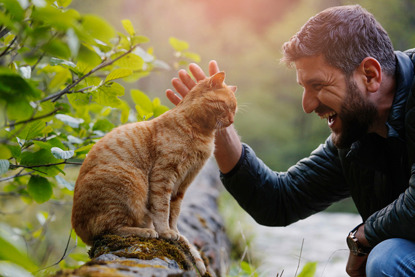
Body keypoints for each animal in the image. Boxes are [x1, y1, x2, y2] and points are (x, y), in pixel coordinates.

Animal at [70, 71, 236, 274]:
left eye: (235, 109)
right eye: (226, 106)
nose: (231, 120)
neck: (201, 133)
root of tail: (78, 228)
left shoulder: (182, 184)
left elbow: (174, 212)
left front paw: (175, 233)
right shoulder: (163, 175)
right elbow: (162, 208)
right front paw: (165, 232)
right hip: (131, 183)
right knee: (110, 229)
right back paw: (146, 232)